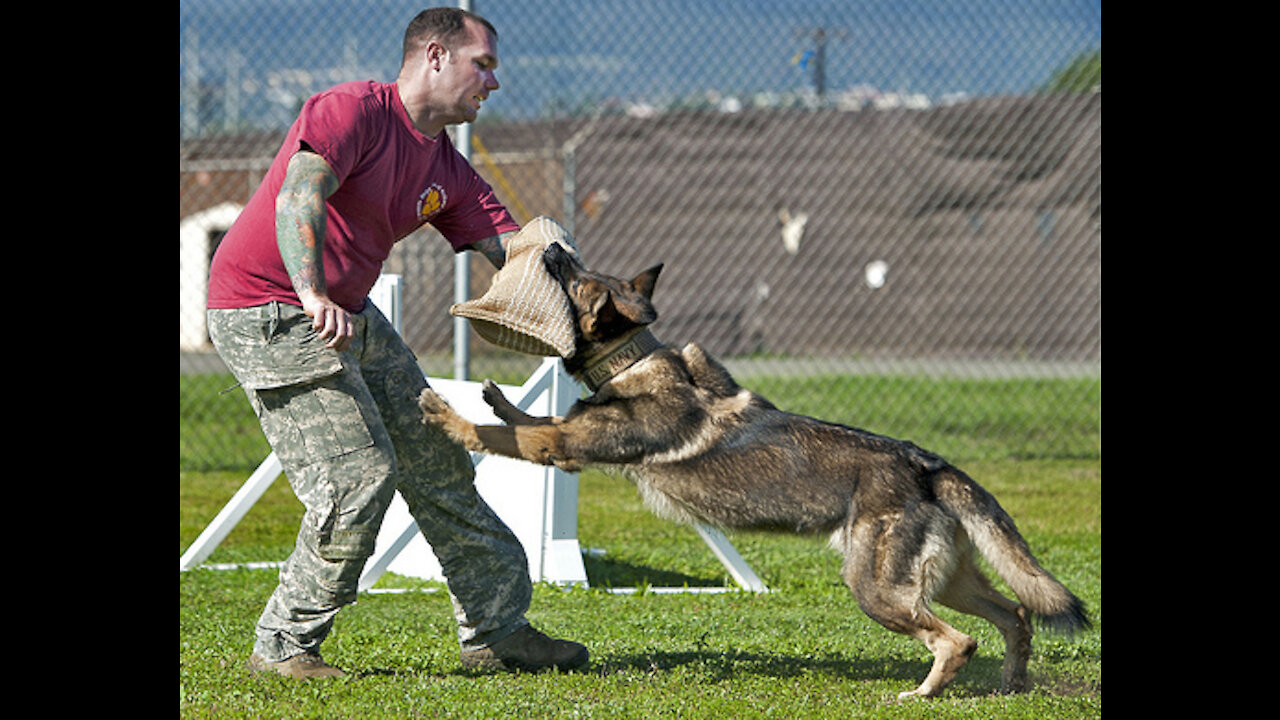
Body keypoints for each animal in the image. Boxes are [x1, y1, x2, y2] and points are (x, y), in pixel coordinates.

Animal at [419, 242, 1090, 696]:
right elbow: (527, 416)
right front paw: (494, 398)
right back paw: (1010, 686)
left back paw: (923, 693)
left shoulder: (562, 447)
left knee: (958, 639)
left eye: (579, 279)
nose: (555, 247)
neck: (632, 361)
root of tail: (926, 463)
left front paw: (447, 412)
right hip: (945, 580)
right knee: (1017, 614)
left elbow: (513, 433)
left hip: (875, 589)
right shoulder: (563, 437)